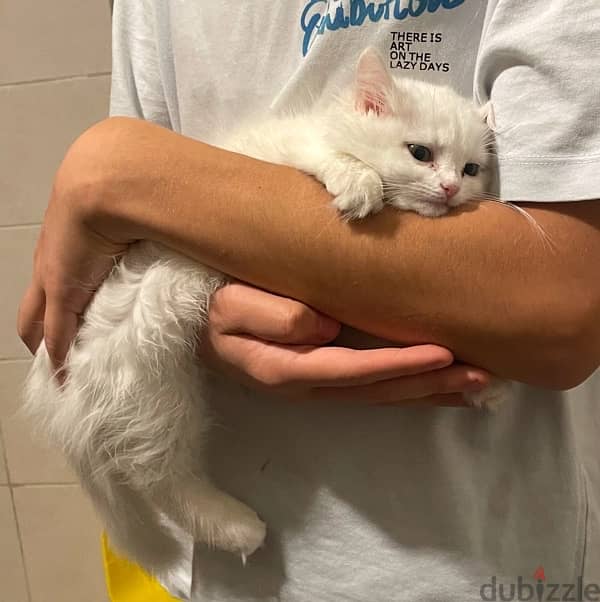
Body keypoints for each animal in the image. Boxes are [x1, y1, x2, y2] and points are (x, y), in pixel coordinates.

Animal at [22, 48, 502, 576]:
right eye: (421, 153)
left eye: (472, 169)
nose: (451, 189)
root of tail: (54, 390)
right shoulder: (288, 152)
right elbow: (338, 160)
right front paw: (361, 187)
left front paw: (484, 387)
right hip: (155, 377)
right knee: (154, 472)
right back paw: (240, 529)